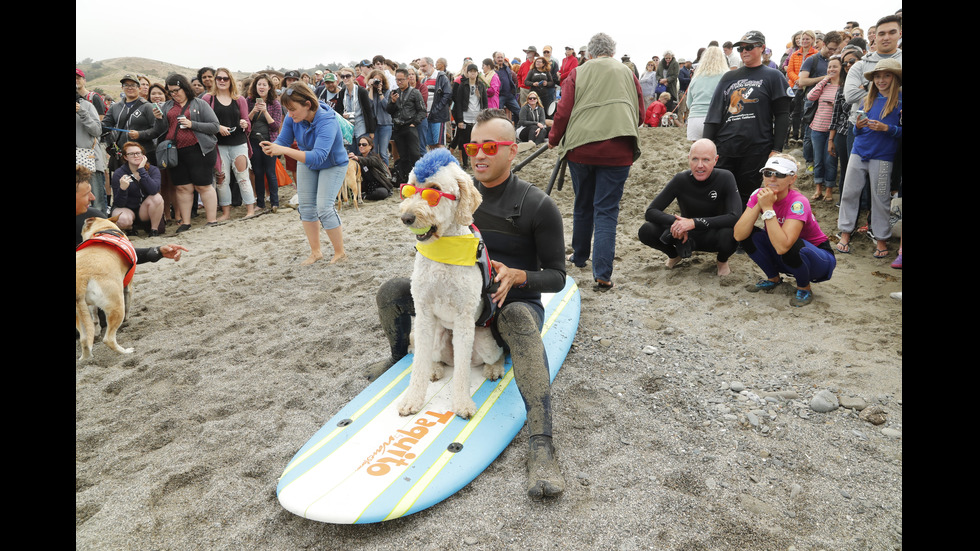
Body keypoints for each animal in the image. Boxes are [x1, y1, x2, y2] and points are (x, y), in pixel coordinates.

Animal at [76, 216, 137, 362]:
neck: (105, 229)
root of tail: (80, 275)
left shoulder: (90, 305)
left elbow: (94, 316)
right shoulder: (128, 287)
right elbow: (128, 304)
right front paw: (127, 320)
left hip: (78, 313)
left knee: (84, 339)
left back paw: (84, 359)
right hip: (116, 306)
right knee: (108, 339)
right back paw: (126, 351)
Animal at [396, 149, 502, 420]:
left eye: (434, 190)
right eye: (409, 189)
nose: (406, 218)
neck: (443, 252)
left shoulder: (464, 319)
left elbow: (463, 374)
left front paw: (462, 403)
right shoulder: (423, 314)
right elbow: (417, 365)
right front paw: (412, 399)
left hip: (485, 340)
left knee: (493, 356)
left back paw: (494, 369)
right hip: (436, 336)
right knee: (435, 358)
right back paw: (435, 368)